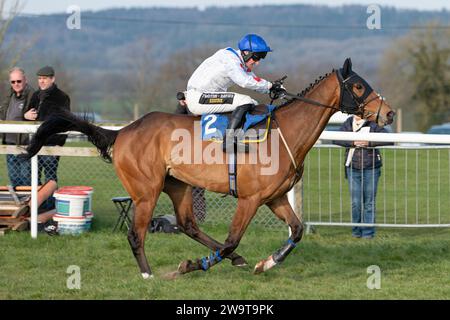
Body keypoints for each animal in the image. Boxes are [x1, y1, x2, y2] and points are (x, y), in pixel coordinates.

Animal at [24, 57, 394, 278]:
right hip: (146, 192)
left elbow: (297, 230)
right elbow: (232, 239)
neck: (283, 132)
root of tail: (123, 131)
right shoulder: (249, 199)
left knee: (188, 224)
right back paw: (148, 273)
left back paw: (233, 260)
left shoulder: (275, 197)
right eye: (358, 85)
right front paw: (192, 265)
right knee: (136, 233)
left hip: (179, 185)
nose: (388, 113)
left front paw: (266, 261)